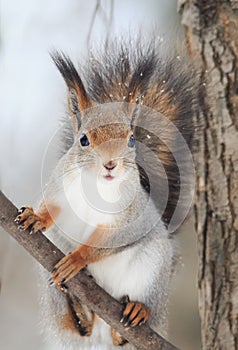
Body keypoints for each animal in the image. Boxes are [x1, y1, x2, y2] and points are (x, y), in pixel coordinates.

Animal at [13, 37, 198, 348]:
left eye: (132, 139)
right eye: (83, 139)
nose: (110, 164)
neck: (96, 185)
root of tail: (102, 325)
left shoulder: (129, 216)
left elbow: (106, 241)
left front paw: (77, 259)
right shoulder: (60, 188)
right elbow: (51, 208)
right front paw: (36, 216)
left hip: (153, 269)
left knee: (131, 320)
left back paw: (135, 312)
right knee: (80, 326)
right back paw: (79, 311)